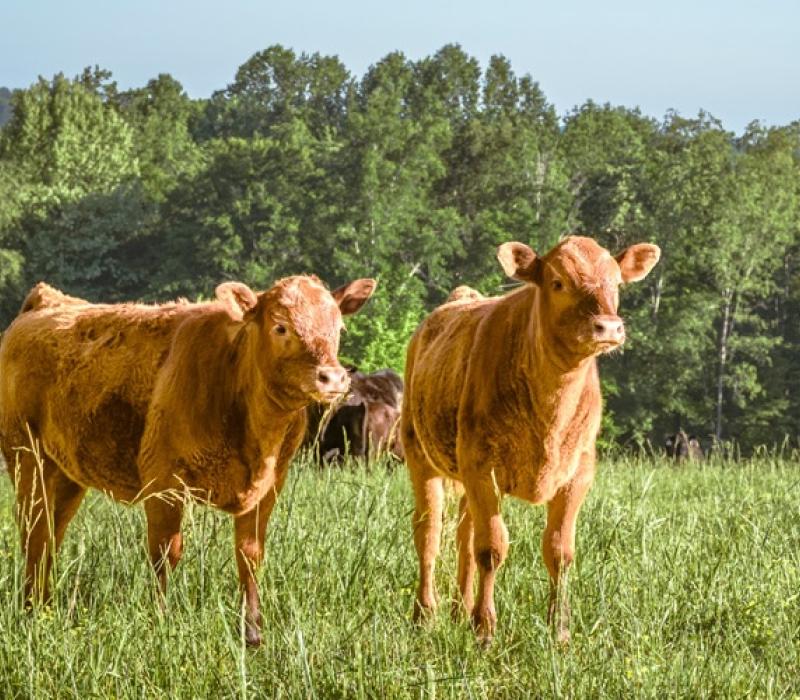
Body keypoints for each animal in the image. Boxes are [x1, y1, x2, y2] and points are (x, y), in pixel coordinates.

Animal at [0, 275, 375, 647]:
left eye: (339, 328)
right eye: (281, 326)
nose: (333, 377)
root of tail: (48, 300)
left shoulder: (269, 487)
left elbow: (250, 554)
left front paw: (253, 633)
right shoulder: (164, 483)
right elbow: (166, 552)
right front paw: (161, 620)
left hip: (65, 474)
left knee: (50, 535)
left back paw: (44, 606)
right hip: (27, 460)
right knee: (35, 534)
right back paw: (32, 610)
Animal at [402, 235, 660, 644]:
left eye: (617, 283)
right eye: (558, 282)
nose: (607, 327)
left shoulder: (578, 471)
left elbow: (559, 552)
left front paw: (560, 632)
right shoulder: (482, 464)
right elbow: (492, 547)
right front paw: (485, 629)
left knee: (463, 535)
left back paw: (460, 610)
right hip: (419, 453)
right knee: (429, 532)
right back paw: (425, 615)